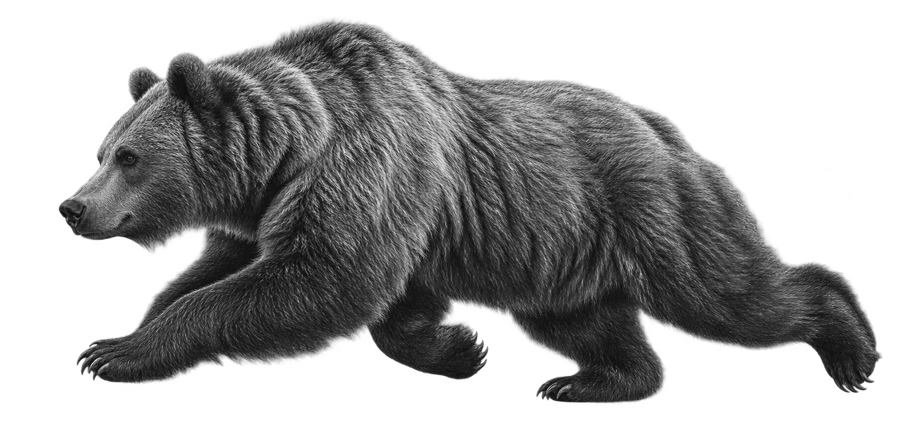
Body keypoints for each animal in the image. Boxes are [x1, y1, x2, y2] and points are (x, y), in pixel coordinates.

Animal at [62, 18, 879, 403]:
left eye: (128, 157)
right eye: (103, 147)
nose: (75, 206)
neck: (294, 146)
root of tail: (666, 127)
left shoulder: (369, 168)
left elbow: (319, 282)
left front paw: (117, 352)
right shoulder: (286, 208)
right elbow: (224, 271)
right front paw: (459, 346)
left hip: (658, 209)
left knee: (730, 294)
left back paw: (849, 344)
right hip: (562, 254)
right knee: (589, 322)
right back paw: (593, 381)